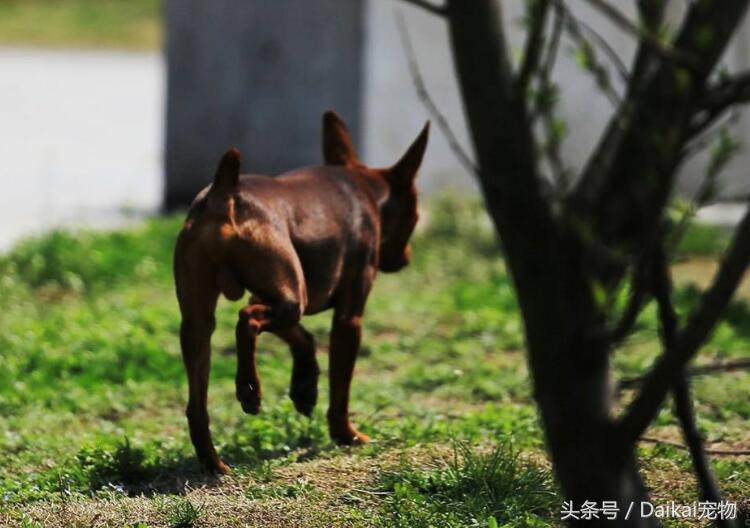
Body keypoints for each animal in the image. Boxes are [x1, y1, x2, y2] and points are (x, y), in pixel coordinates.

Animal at [175, 112, 428, 474]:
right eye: (415, 217)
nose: (406, 258)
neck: (365, 189)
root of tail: (225, 194)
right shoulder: (348, 319)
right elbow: (341, 387)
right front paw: (346, 434)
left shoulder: (271, 295)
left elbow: (303, 338)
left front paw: (305, 388)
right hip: (290, 302)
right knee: (246, 321)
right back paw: (249, 390)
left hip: (203, 321)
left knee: (197, 405)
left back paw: (214, 462)